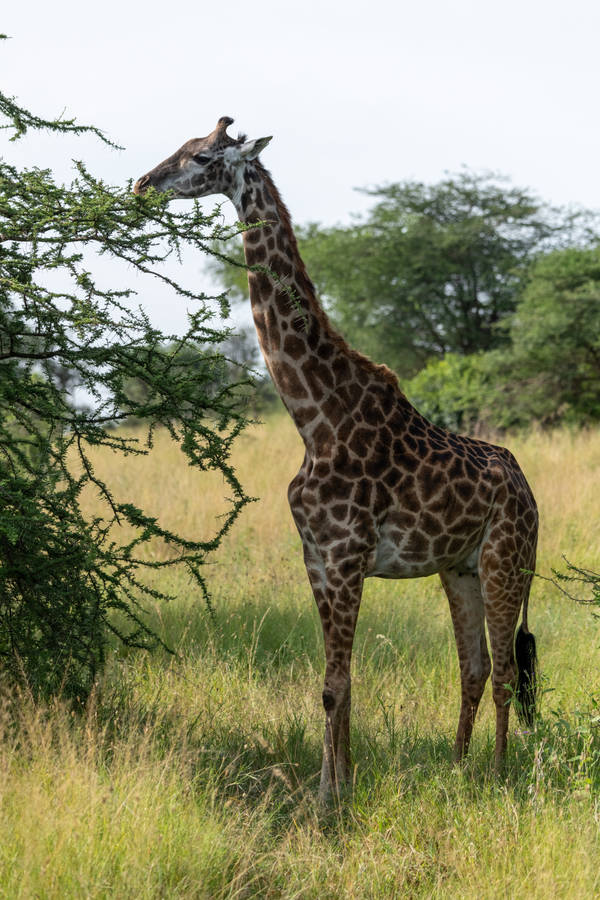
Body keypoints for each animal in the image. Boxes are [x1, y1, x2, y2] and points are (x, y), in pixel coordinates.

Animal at [134, 118, 539, 799]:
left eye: (204, 157)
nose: (143, 183)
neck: (314, 415)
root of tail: (529, 489)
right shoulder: (317, 558)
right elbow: (334, 686)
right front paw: (333, 788)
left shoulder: (348, 557)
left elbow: (336, 685)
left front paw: (331, 800)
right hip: (459, 568)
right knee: (475, 667)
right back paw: (459, 768)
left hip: (507, 560)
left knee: (508, 670)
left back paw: (501, 776)